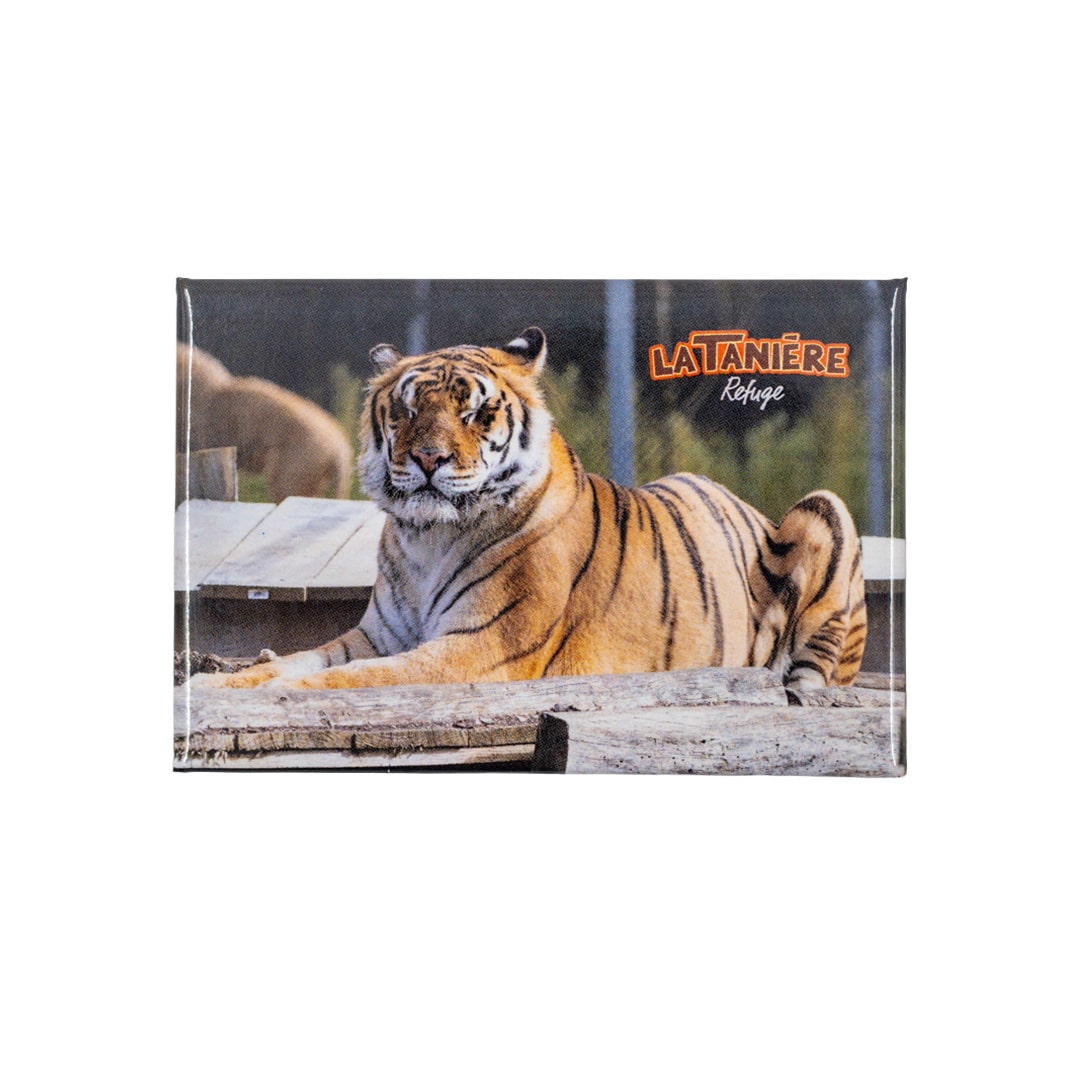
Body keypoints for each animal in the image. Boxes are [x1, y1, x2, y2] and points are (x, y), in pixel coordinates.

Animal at [189, 327, 865, 691]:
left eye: (476, 411)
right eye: (407, 409)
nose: (429, 459)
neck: (426, 538)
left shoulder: (480, 646)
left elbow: (350, 679)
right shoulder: (377, 635)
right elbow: (306, 657)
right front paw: (218, 682)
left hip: (826, 510)